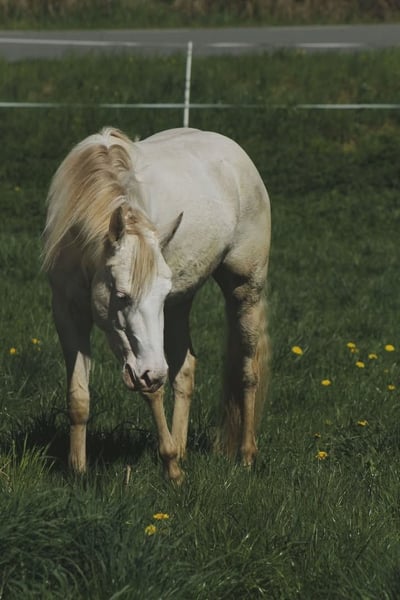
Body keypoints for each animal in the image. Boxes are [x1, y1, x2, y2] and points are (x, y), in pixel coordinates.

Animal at [42, 126, 271, 482]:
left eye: (158, 295)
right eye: (122, 296)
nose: (152, 371)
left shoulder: (142, 347)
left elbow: (152, 390)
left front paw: (171, 468)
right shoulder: (67, 313)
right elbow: (78, 397)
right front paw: (77, 471)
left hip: (245, 291)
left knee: (248, 370)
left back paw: (245, 455)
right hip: (180, 305)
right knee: (184, 369)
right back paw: (183, 447)